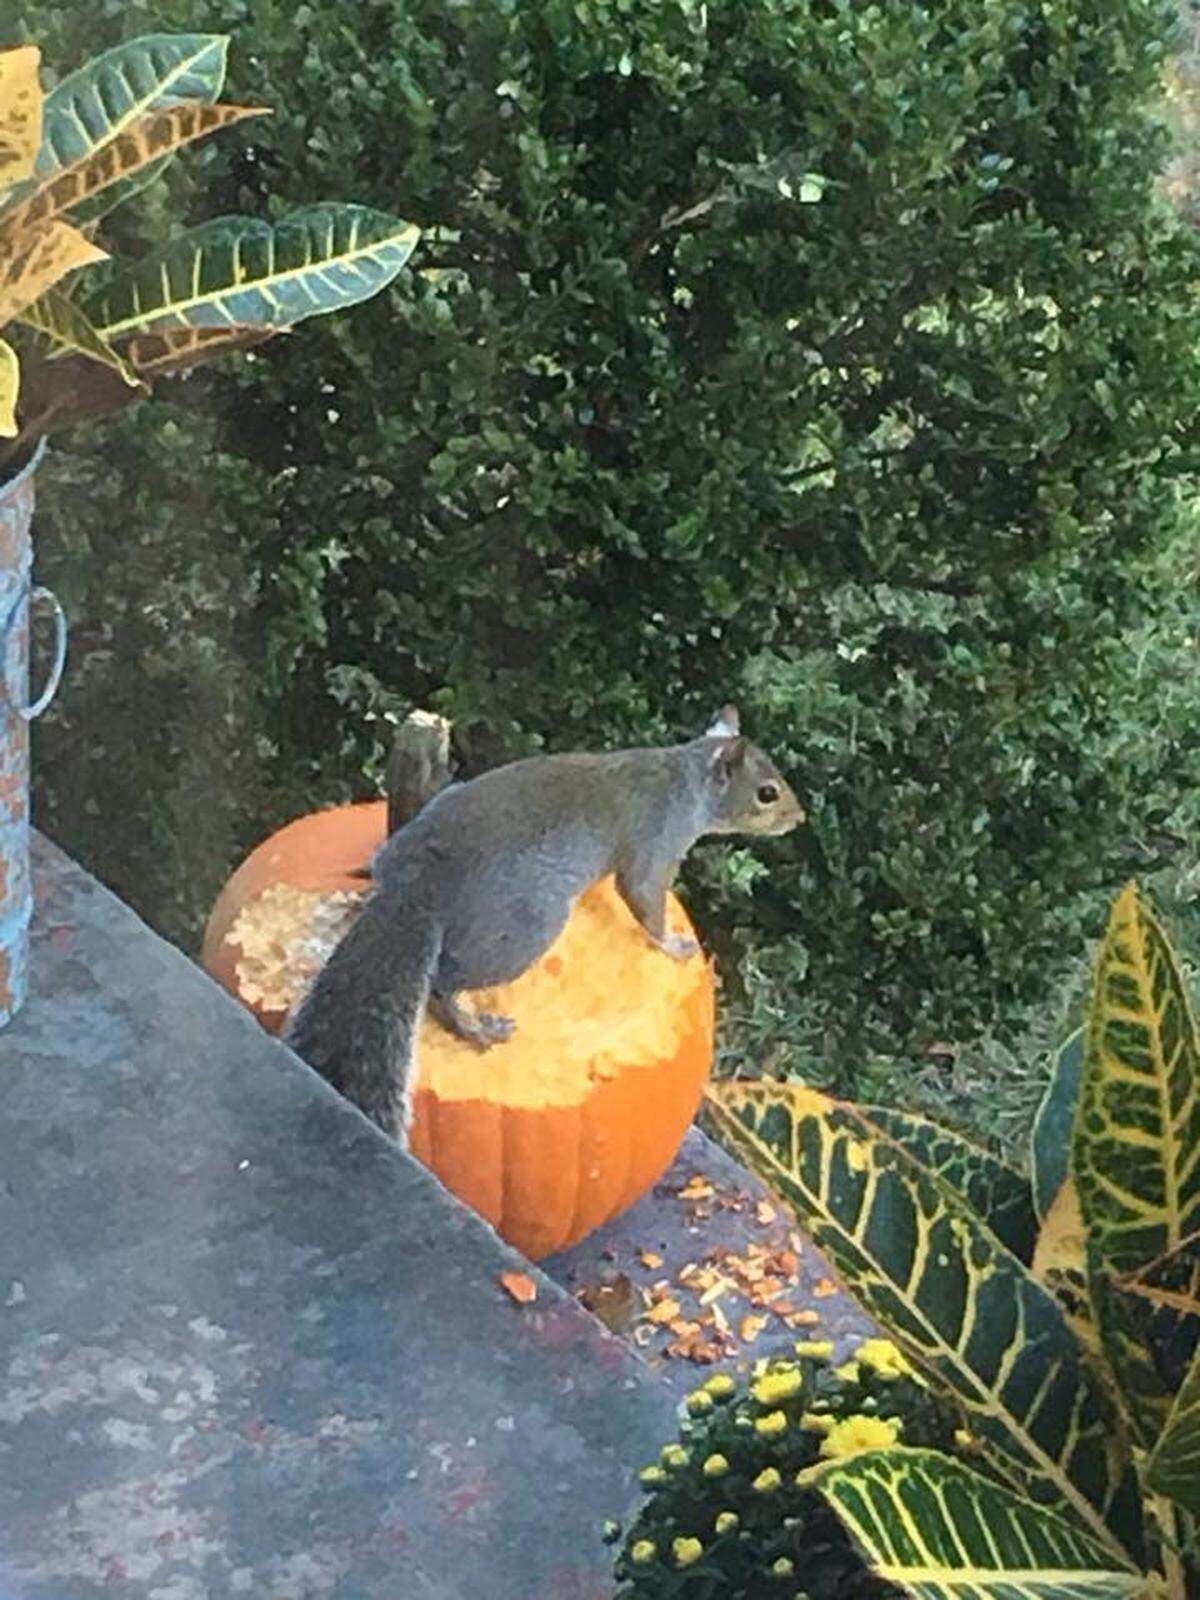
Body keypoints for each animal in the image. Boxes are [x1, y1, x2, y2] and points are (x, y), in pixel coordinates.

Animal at [282, 706, 804, 1146]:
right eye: (767, 793)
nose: (799, 818)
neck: (686, 778)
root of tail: (417, 885)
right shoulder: (654, 842)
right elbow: (643, 898)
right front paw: (674, 945)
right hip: (522, 931)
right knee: (444, 985)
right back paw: (476, 1028)